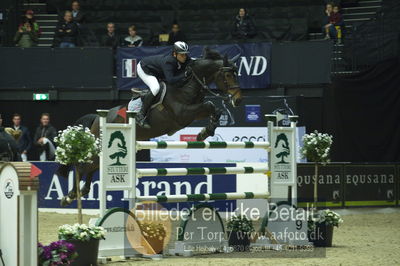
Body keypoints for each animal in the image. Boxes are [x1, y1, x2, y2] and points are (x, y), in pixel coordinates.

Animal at [57, 48, 242, 206]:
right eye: (227, 75)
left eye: (236, 74)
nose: (238, 100)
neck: (187, 86)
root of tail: (98, 118)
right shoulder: (183, 114)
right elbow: (210, 105)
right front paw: (205, 132)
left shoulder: (194, 113)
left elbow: (212, 108)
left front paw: (206, 131)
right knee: (83, 166)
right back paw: (69, 196)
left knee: (92, 167)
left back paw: (78, 193)